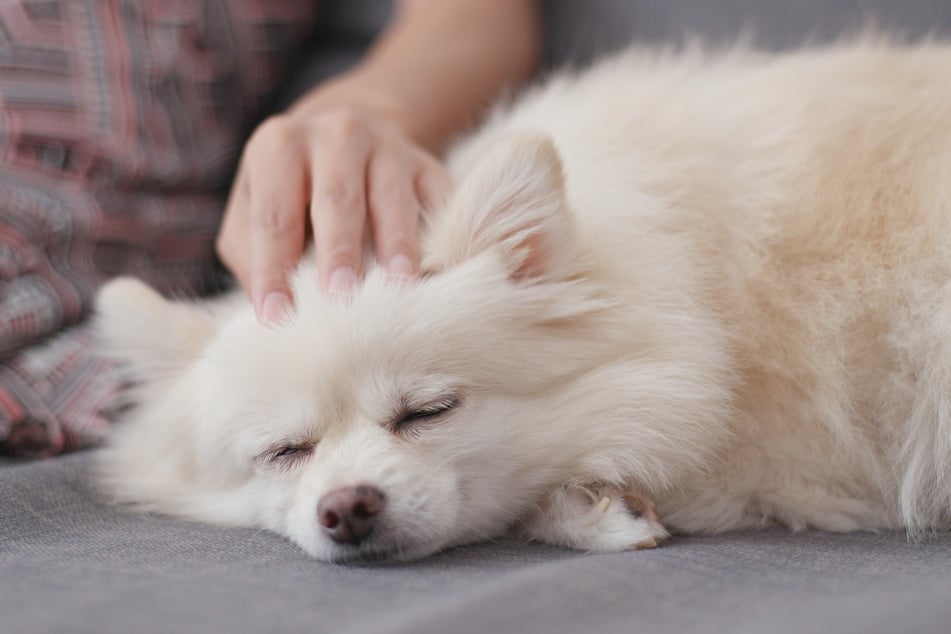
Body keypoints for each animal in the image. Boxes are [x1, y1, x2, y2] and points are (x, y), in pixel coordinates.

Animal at [95, 39, 951, 560]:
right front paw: (596, 508)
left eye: (428, 412)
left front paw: (590, 507)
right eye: (283, 452)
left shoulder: (789, 456)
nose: (347, 507)